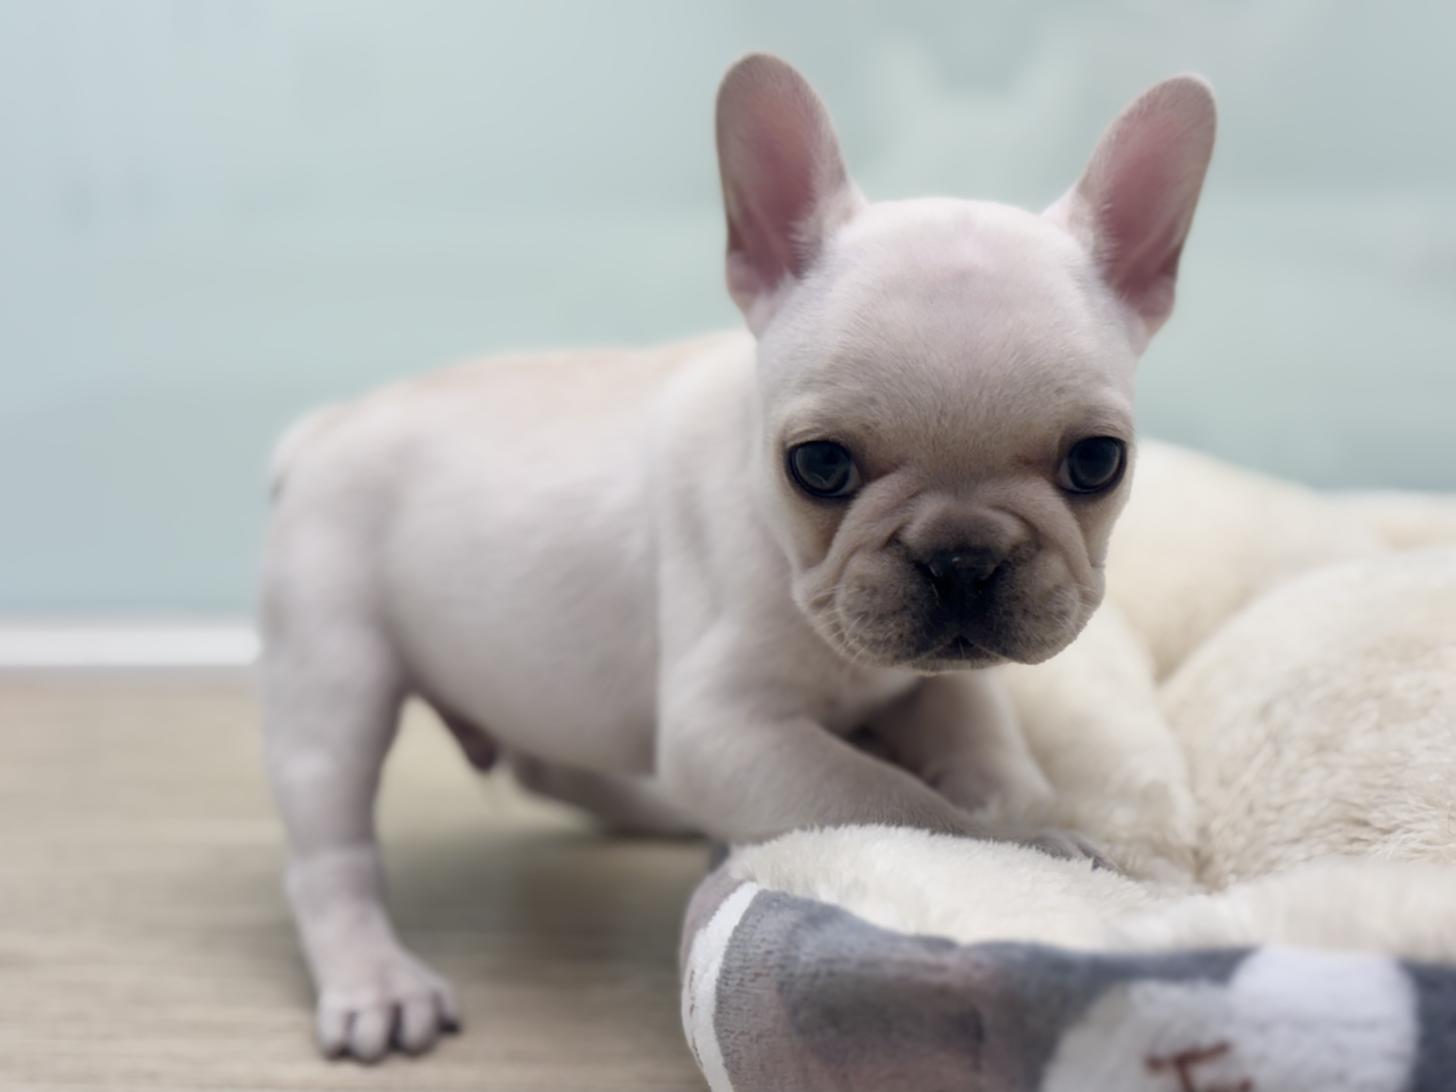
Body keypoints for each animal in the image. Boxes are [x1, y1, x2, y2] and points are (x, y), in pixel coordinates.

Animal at [261, 54, 1215, 1060]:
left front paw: (1030, 807)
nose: (961, 557)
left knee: (551, 764)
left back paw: (662, 813)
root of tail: (322, 427)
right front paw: (1029, 847)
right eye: (820, 466)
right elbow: (895, 799)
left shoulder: (939, 682)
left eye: (1098, 461)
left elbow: (981, 741)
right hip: (333, 675)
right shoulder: (729, 730)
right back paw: (374, 978)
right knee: (329, 849)